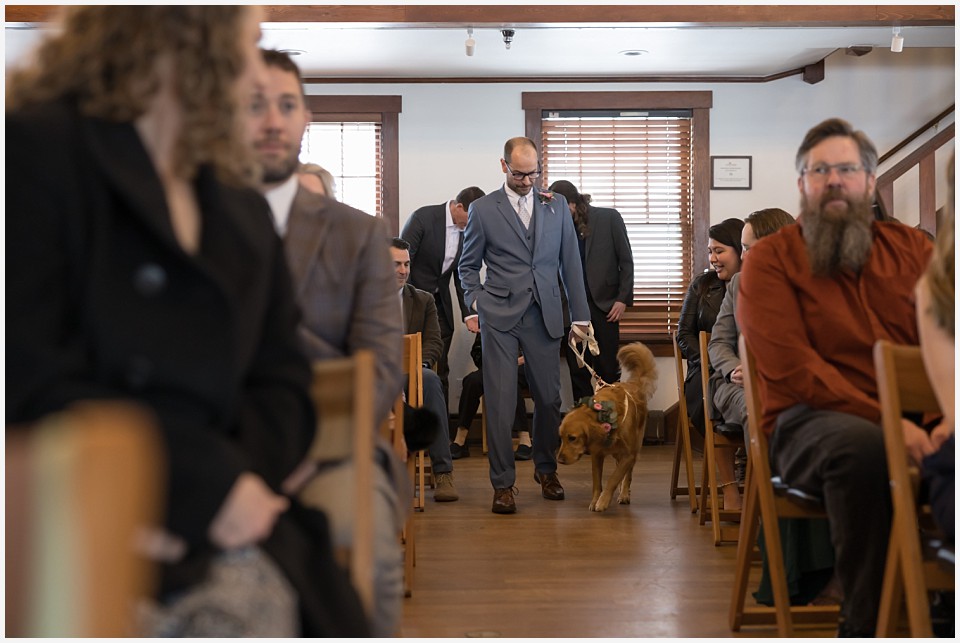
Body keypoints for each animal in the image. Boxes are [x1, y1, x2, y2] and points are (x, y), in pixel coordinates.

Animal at [560, 342, 656, 512]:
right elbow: (597, 482)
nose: (559, 460)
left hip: (634, 449)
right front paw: (595, 500)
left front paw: (603, 501)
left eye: (572, 438)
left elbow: (614, 478)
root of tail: (633, 384)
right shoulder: (597, 455)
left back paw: (624, 494)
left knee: (628, 474)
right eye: (560, 438)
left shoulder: (629, 455)